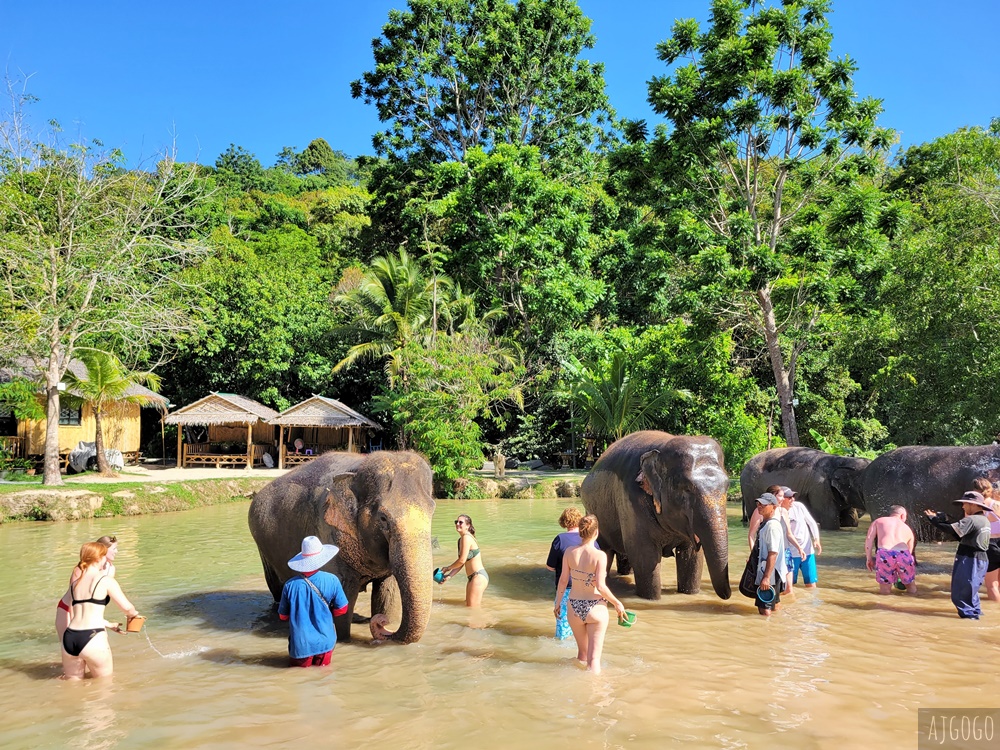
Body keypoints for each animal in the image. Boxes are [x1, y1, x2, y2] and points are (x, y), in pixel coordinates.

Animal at [248, 452, 436, 648]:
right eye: (383, 518)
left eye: (432, 511)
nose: (380, 623)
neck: (359, 467)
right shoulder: (327, 531)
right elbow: (343, 596)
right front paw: (343, 639)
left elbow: (387, 594)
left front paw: (386, 618)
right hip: (263, 548)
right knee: (277, 589)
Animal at [576, 432, 732, 604]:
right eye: (686, 488)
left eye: (727, 486)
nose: (727, 595)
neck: (661, 448)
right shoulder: (631, 502)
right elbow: (645, 556)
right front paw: (652, 599)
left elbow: (692, 557)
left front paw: (689, 594)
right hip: (593, 513)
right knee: (605, 551)